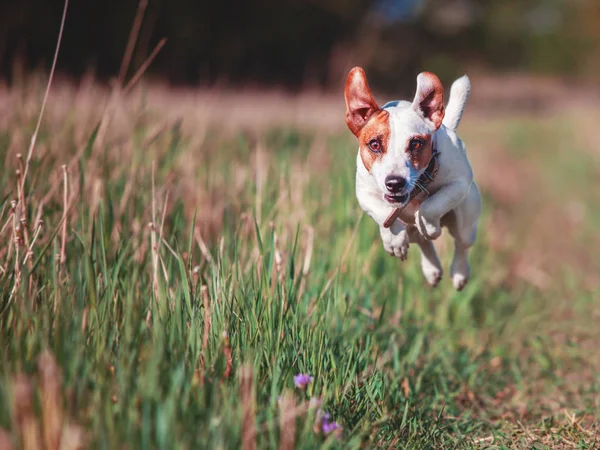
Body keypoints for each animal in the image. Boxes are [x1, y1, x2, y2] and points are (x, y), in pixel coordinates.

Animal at [344, 68, 480, 290]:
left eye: (416, 144)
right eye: (374, 144)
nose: (394, 183)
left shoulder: (460, 182)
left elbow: (430, 206)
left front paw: (430, 226)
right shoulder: (364, 193)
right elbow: (383, 213)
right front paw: (394, 241)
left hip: (466, 224)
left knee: (461, 244)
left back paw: (459, 273)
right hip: (413, 229)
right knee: (422, 241)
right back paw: (432, 270)